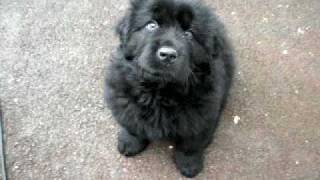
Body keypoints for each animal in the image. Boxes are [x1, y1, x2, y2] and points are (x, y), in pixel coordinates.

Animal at [105, 0, 235, 177]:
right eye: (151, 25)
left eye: (188, 34)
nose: (167, 54)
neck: (160, 91)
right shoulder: (123, 98)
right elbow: (131, 123)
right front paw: (129, 143)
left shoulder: (203, 115)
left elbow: (191, 142)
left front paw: (189, 164)